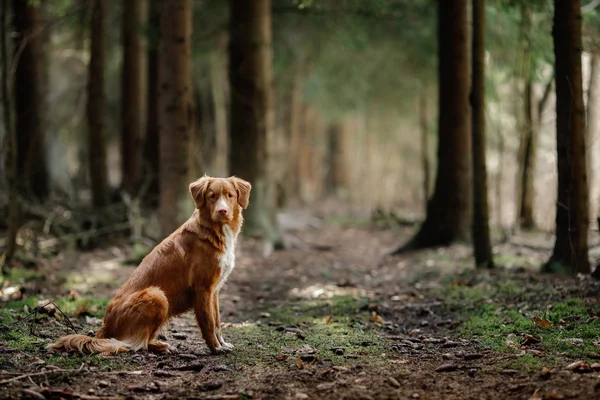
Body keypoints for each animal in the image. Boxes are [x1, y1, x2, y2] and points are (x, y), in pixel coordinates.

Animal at [48, 177, 251, 354]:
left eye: (230, 195)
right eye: (212, 196)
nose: (222, 211)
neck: (213, 230)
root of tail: (104, 328)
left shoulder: (214, 290)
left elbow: (217, 322)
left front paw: (222, 344)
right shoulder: (202, 289)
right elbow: (208, 322)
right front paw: (215, 348)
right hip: (157, 295)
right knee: (136, 343)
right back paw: (160, 346)